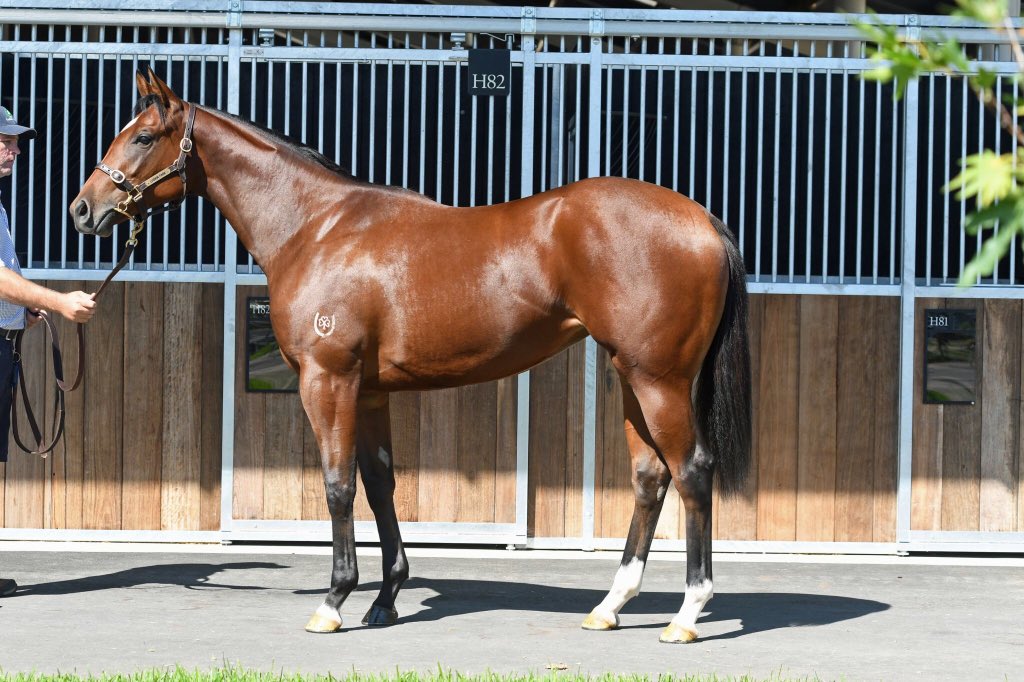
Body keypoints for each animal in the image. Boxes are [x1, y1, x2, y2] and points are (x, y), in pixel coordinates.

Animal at [70, 69, 751, 644]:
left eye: (144, 136)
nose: (83, 210)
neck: (316, 227)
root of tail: (702, 220)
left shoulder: (329, 382)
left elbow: (338, 485)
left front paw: (334, 601)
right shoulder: (369, 391)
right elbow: (379, 485)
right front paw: (385, 597)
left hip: (659, 380)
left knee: (691, 471)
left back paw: (687, 614)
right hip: (630, 377)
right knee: (650, 477)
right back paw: (610, 606)